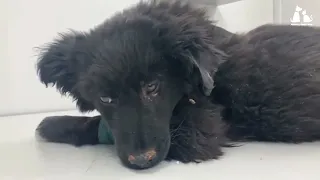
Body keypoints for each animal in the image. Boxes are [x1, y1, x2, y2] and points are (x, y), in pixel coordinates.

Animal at [35, 0, 320, 169]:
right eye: (104, 98)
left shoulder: (198, 132)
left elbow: (101, 127)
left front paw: (54, 124)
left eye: (152, 87)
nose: (142, 161)